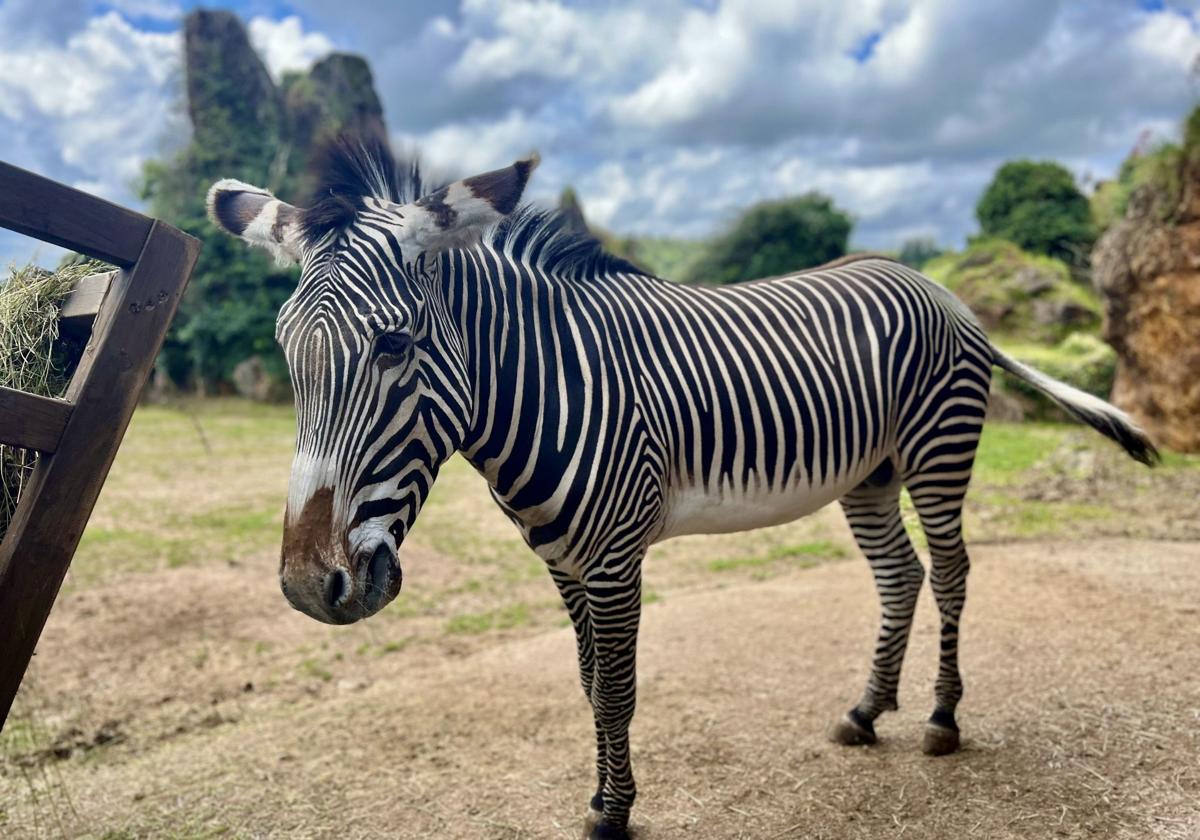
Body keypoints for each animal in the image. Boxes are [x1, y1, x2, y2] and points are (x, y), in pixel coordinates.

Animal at [208, 134, 1161, 835]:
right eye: (287, 352)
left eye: (395, 344)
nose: (311, 587)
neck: (540, 389)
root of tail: (938, 287)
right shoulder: (562, 560)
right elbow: (589, 684)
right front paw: (600, 798)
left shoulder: (615, 559)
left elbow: (618, 688)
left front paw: (616, 814)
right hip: (870, 473)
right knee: (901, 576)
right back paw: (867, 711)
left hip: (939, 450)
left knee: (955, 572)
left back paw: (940, 718)